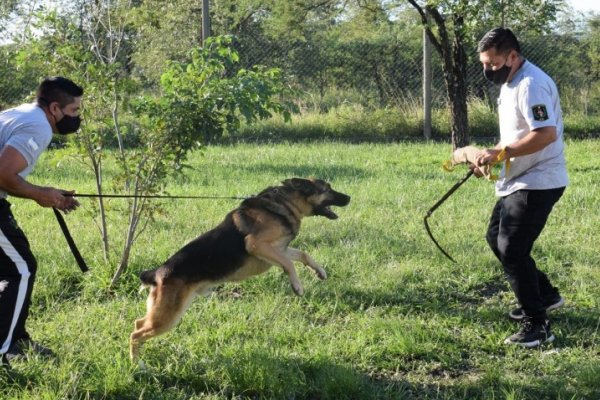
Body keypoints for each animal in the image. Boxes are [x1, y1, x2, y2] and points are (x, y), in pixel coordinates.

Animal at [129, 177, 350, 360]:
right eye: (327, 188)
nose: (349, 197)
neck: (284, 204)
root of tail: (157, 274)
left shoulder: (279, 250)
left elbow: (303, 255)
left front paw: (319, 271)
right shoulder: (257, 245)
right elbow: (289, 265)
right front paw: (297, 286)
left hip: (168, 314)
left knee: (138, 323)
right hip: (167, 318)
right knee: (135, 334)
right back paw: (137, 366)